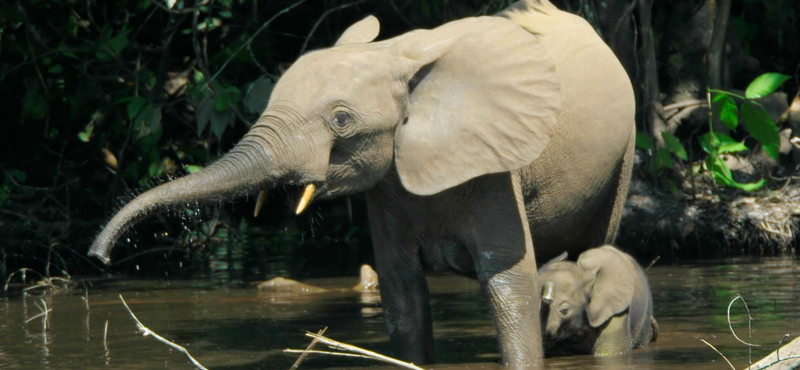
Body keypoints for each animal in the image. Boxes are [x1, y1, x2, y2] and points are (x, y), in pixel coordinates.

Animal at [89, 1, 636, 368]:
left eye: (342, 120)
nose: (98, 257)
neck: (396, 55)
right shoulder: (388, 187)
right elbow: (401, 293)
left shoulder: (495, 167)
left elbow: (508, 285)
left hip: (624, 154)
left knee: (593, 248)